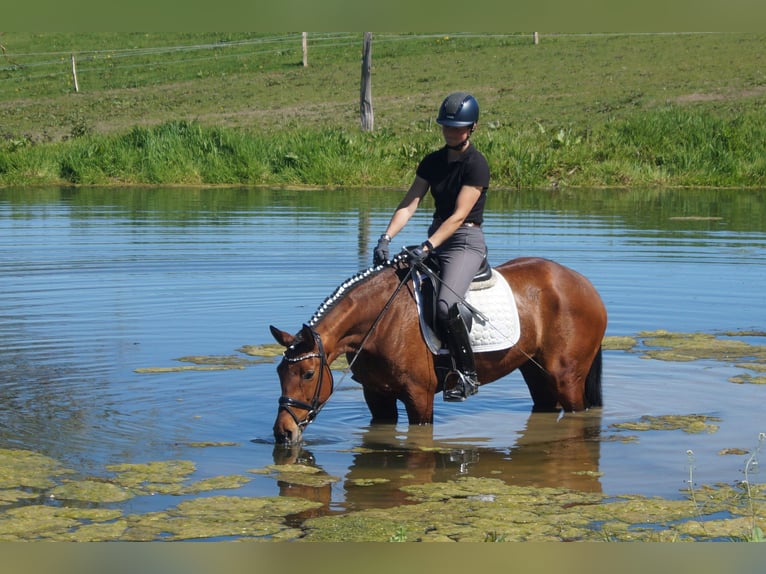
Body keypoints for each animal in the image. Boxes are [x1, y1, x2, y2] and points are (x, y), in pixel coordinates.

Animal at [269, 256, 607, 445]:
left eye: (308, 373)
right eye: (279, 373)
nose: (283, 433)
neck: (382, 319)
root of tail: (584, 284)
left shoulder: (419, 396)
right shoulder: (376, 395)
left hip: (567, 378)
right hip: (535, 372)